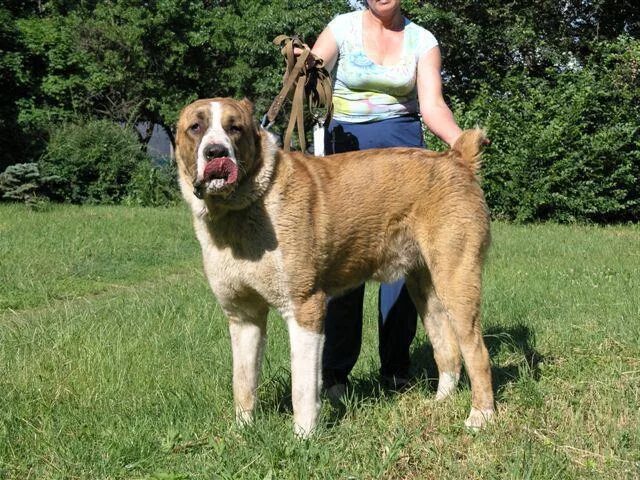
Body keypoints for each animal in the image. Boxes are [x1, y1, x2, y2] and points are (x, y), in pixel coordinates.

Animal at [175, 96, 496, 436]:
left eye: (234, 128)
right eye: (195, 127)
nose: (216, 152)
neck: (241, 210)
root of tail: (456, 159)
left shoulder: (305, 308)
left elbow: (302, 385)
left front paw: (303, 436)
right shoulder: (243, 317)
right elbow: (243, 381)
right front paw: (243, 431)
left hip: (457, 281)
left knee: (476, 351)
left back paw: (480, 416)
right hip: (425, 290)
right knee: (447, 349)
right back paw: (439, 403)